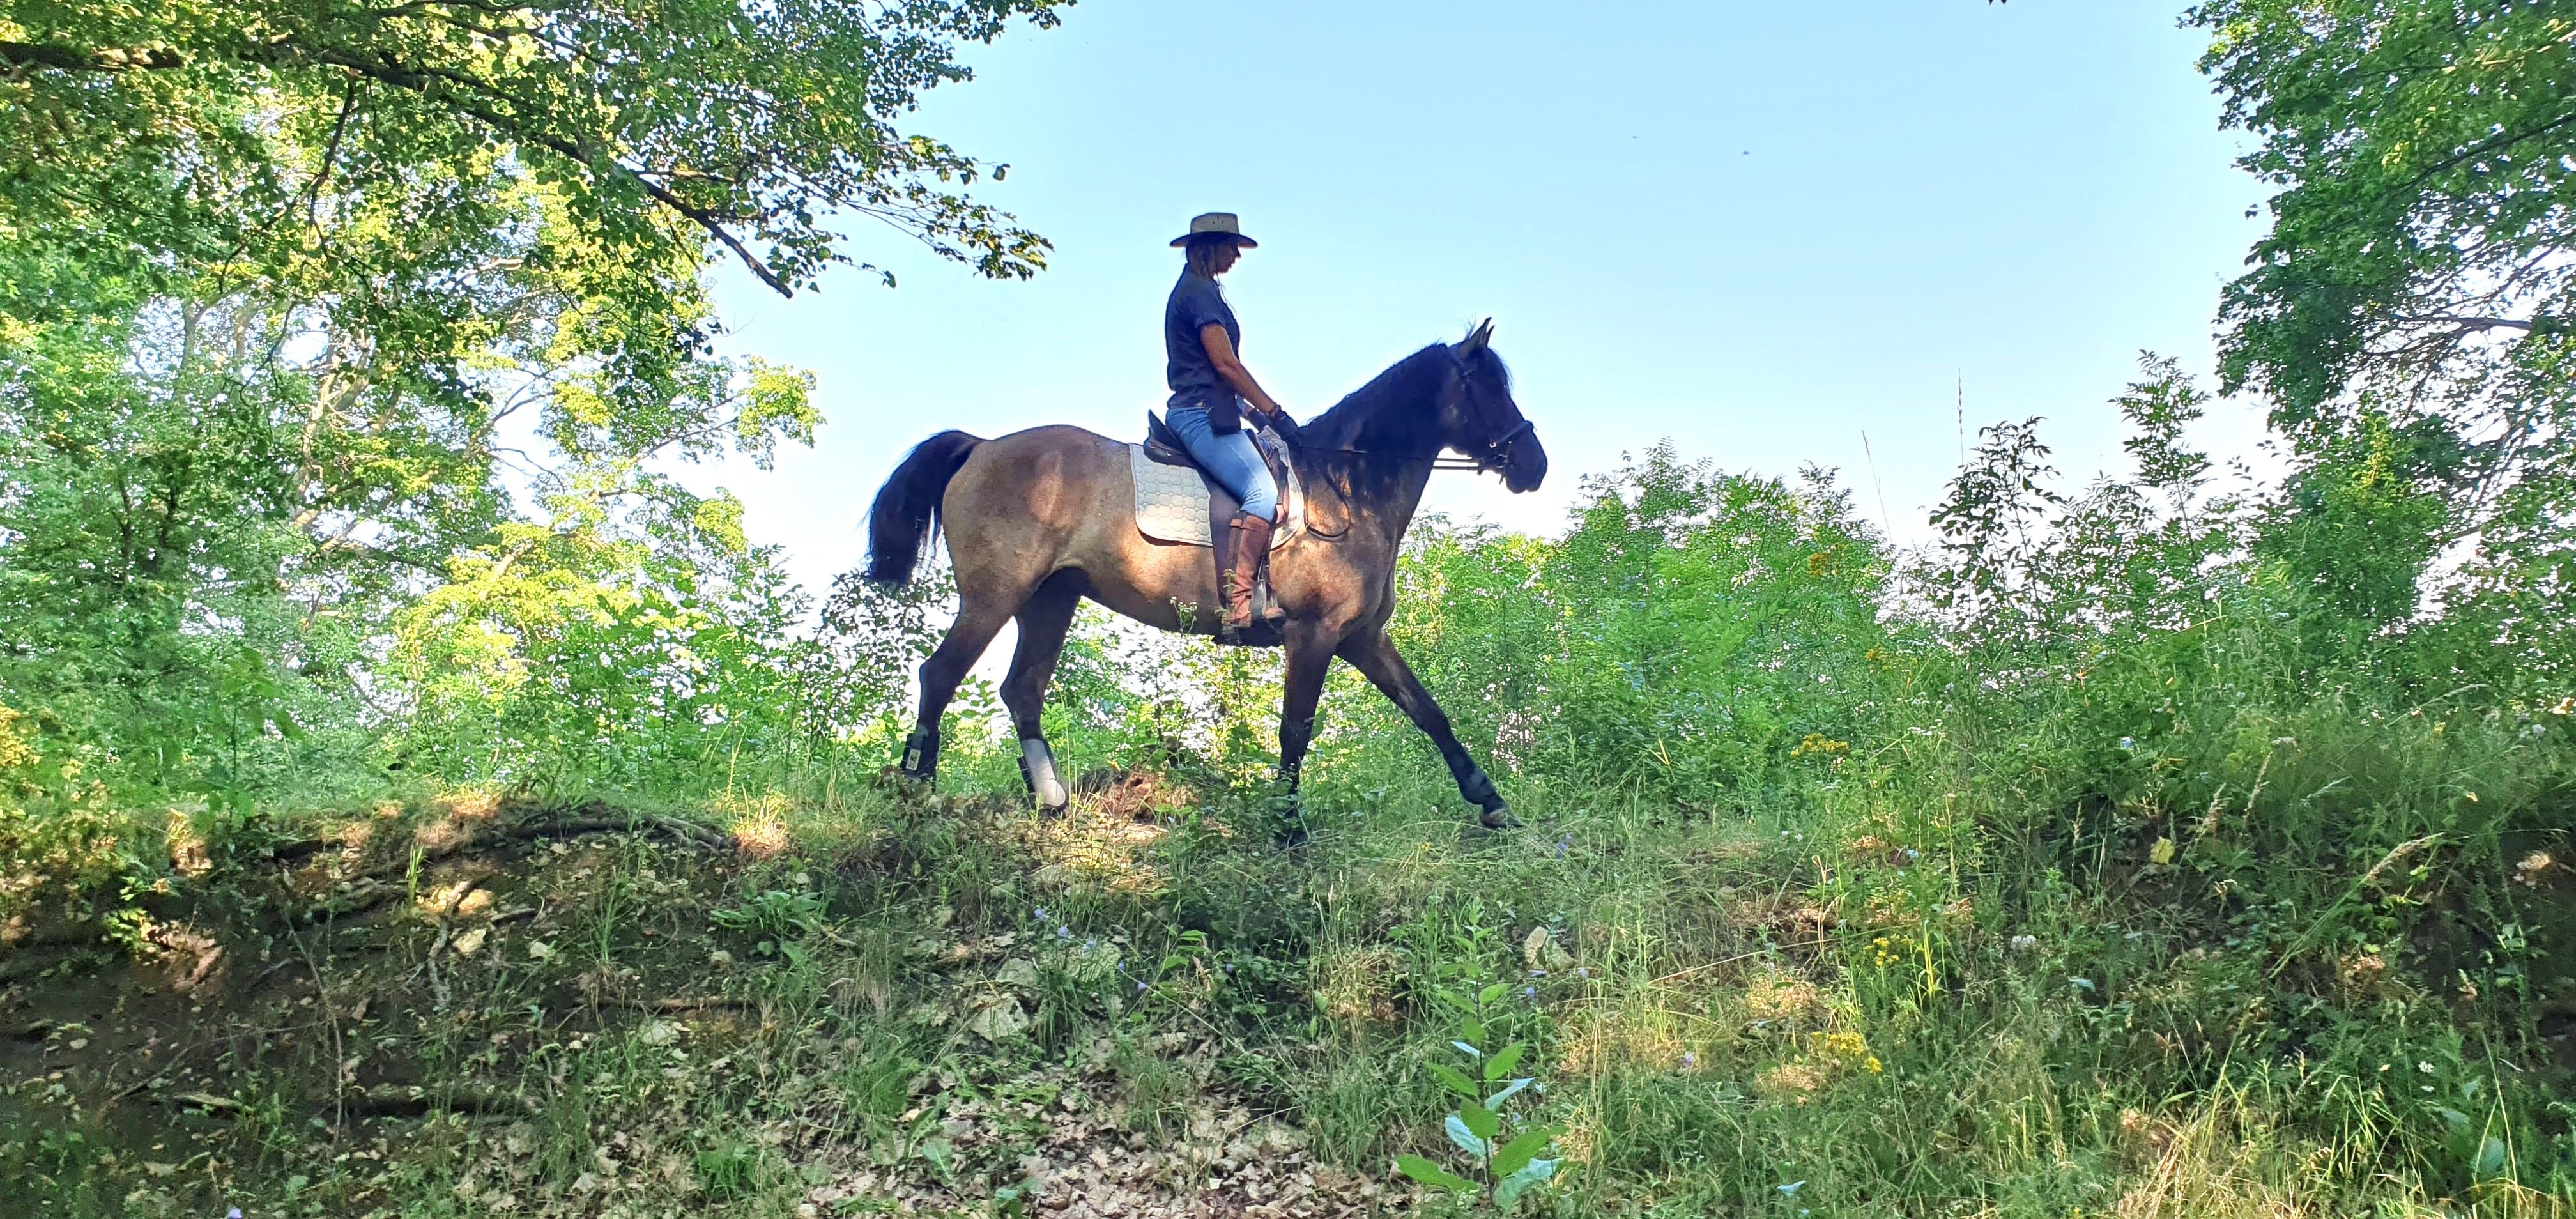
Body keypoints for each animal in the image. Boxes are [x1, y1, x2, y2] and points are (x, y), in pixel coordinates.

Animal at [860, 320, 1546, 833]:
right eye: (1487, 387)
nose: (1534, 465)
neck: (1346, 489)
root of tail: (980, 446)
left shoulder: (1362, 638)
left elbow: (1430, 713)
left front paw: (1493, 804)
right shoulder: (1315, 634)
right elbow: (1296, 729)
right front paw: (1288, 828)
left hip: (1050, 601)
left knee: (1022, 690)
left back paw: (1050, 801)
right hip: (994, 597)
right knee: (940, 674)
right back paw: (919, 787)